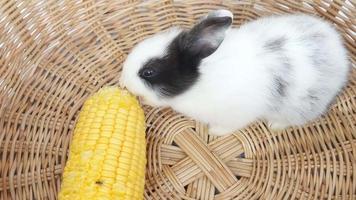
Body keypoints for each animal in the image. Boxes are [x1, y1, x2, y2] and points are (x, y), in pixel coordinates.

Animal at [120, 9, 350, 134]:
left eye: (149, 72)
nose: (123, 82)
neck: (201, 79)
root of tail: (337, 47)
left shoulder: (235, 115)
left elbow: (227, 126)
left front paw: (214, 132)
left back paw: (275, 125)